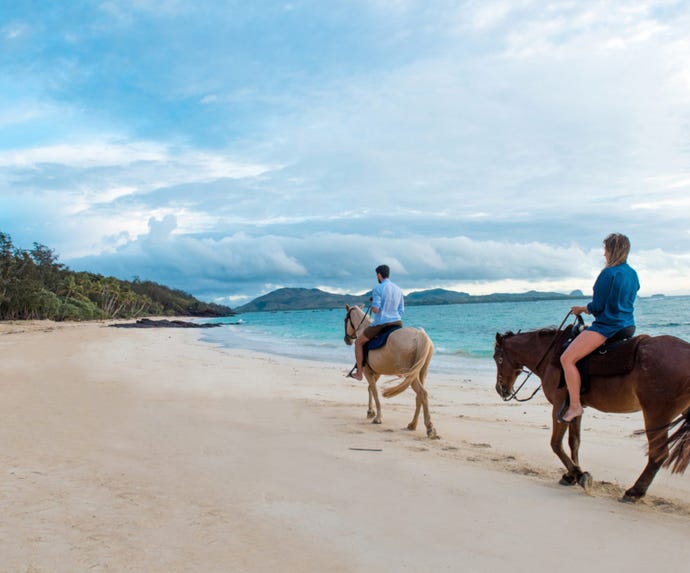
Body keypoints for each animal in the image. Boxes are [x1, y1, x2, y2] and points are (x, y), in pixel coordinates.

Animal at [342, 306, 436, 436]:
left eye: (345, 320)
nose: (347, 340)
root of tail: (419, 335)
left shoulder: (367, 371)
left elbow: (375, 391)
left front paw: (377, 417)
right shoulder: (376, 372)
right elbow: (370, 389)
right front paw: (370, 412)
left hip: (410, 373)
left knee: (422, 393)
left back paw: (429, 428)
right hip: (420, 373)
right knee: (419, 396)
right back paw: (412, 424)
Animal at [492, 322, 688, 500]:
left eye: (497, 358)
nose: (500, 389)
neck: (550, 356)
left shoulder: (559, 407)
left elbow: (556, 444)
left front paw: (579, 475)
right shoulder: (575, 408)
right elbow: (574, 442)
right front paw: (570, 475)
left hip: (656, 414)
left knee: (658, 454)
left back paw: (634, 492)